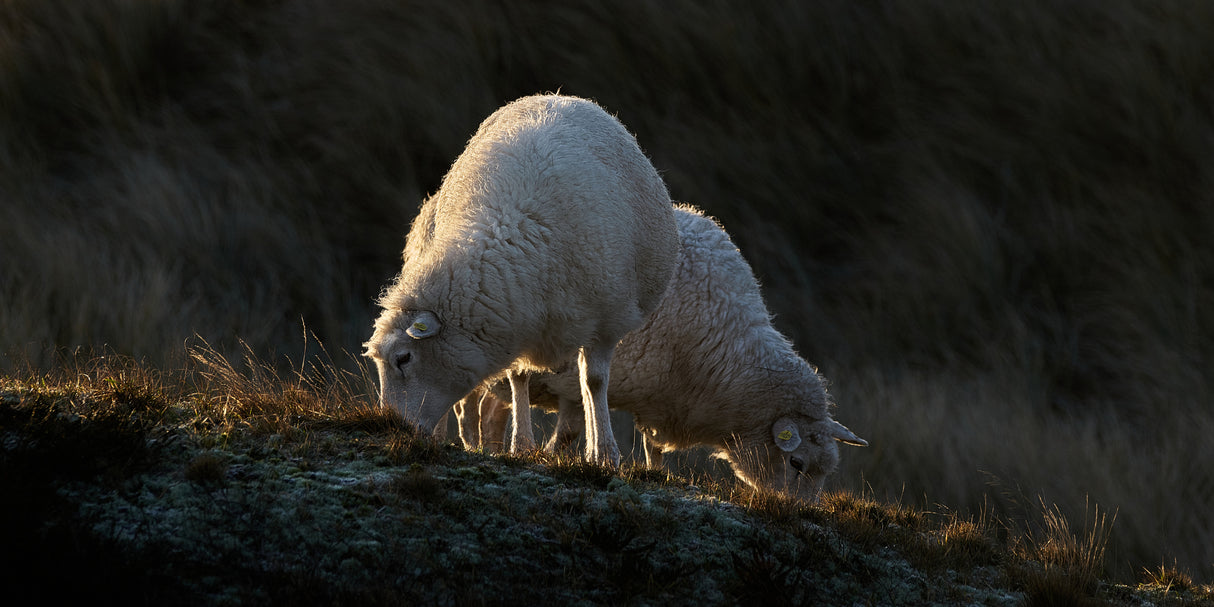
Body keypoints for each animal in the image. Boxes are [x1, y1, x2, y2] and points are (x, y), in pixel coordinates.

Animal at [363, 94, 679, 467]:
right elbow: (519, 378)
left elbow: (595, 382)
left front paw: (604, 453)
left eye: (404, 358)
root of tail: (556, 95)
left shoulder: (607, 322)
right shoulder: (518, 316)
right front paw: (521, 444)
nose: (392, 427)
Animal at [459, 205, 867, 500]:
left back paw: (492, 447)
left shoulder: (659, 396)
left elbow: (651, 446)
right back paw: (478, 443)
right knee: (478, 402)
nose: (801, 510)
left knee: (492, 408)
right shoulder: (578, 385)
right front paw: (556, 457)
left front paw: (656, 473)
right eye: (796, 462)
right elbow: (571, 431)